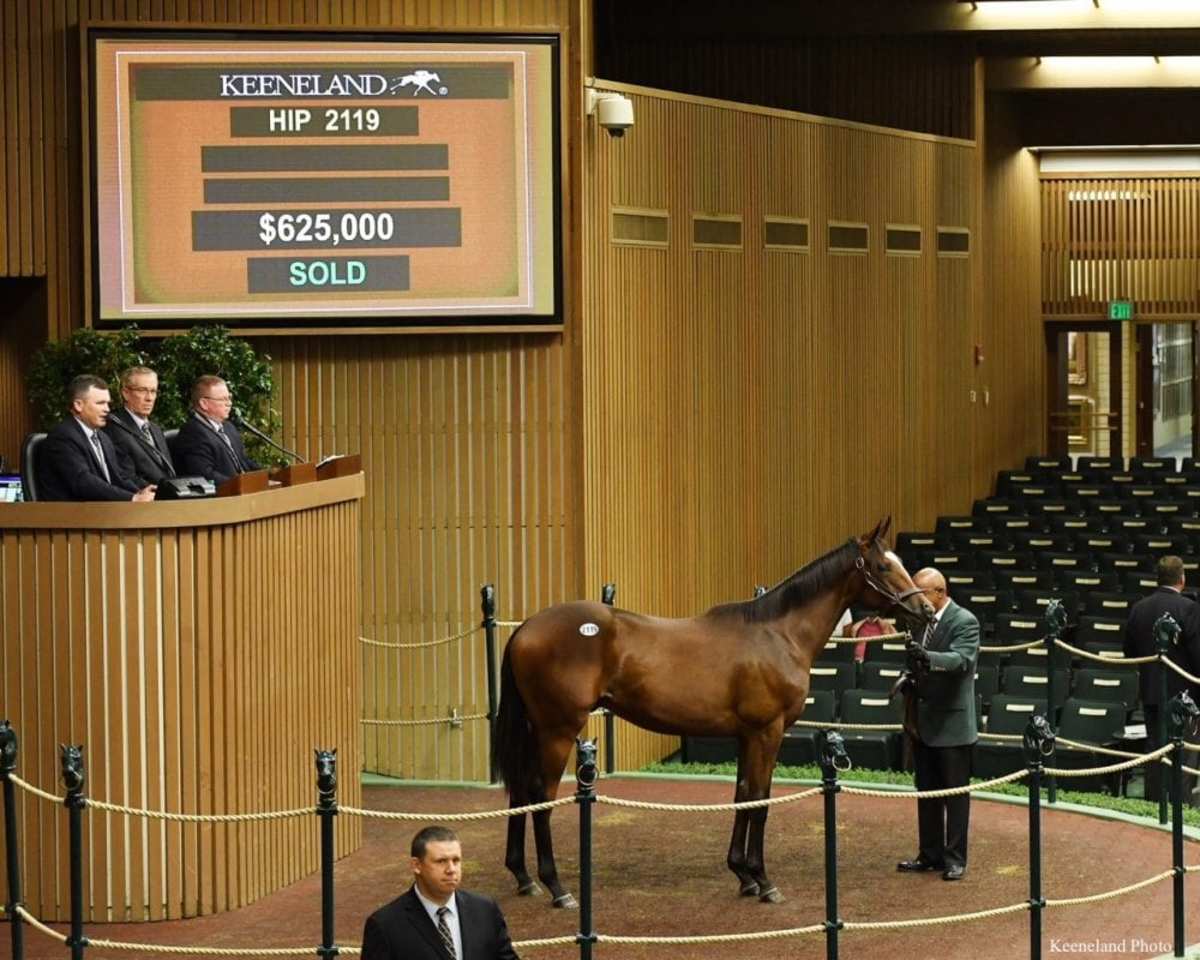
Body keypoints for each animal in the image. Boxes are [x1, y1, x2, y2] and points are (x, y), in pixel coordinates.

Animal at [492, 520, 931, 902]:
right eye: (883, 566)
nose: (925, 609)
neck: (778, 634)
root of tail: (526, 627)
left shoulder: (746, 735)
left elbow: (743, 795)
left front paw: (743, 875)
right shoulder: (767, 731)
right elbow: (760, 800)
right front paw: (764, 881)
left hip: (536, 729)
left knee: (522, 791)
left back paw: (524, 877)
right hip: (558, 730)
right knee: (540, 794)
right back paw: (556, 887)